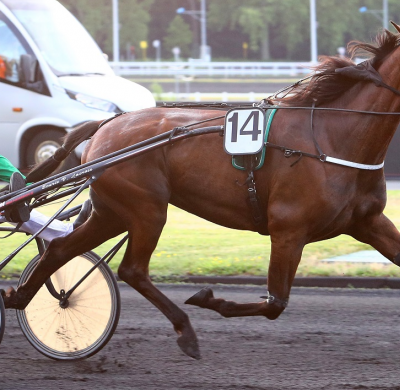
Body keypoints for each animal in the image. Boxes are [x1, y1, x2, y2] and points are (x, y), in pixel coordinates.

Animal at [3, 25, 400, 360]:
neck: (332, 136)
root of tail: (107, 124)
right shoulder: (288, 230)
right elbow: (274, 304)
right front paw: (209, 298)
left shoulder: (367, 221)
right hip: (147, 209)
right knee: (132, 269)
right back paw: (185, 329)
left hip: (112, 212)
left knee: (59, 248)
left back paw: (22, 297)